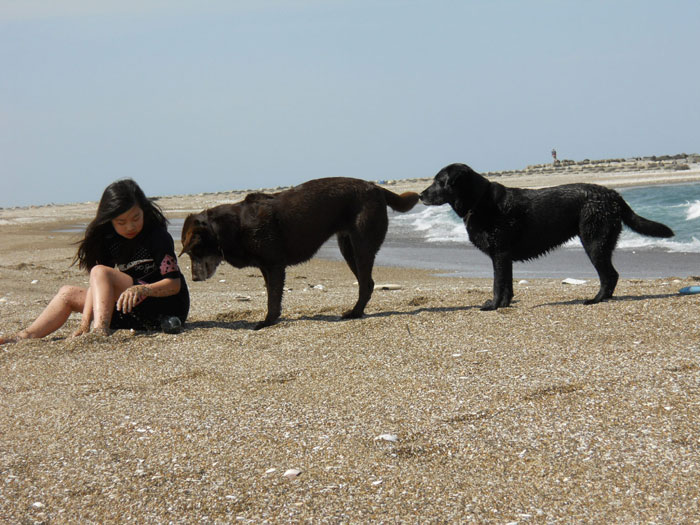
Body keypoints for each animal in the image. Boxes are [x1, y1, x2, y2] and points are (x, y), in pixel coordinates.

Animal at [181, 177, 419, 328]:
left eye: (193, 251)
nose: (193, 278)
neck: (229, 227)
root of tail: (375, 188)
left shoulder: (274, 265)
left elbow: (272, 297)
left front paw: (266, 322)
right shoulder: (266, 267)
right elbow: (272, 294)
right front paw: (272, 319)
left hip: (362, 245)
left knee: (366, 283)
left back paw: (353, 313)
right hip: (347, 247)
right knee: (366, 283)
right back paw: (356, 312)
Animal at [419, 163, 674, 310]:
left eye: (439, 182)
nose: (420, 195)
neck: (479, 201)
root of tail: (613, 194)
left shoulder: (500, 254)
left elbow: (497, 284)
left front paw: (492, 306)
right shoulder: (504, 257)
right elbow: (507, 285)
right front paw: (504, 305)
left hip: (594, 242)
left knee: (609, 275)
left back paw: (596, 300)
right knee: (611, 275)